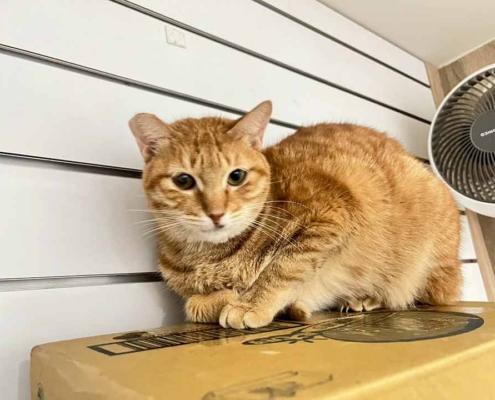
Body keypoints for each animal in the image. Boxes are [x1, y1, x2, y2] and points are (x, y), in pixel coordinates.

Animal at [129, 100, 462, 329]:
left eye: (236, 176)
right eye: (183, 181)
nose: (216, 213)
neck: (213, 259)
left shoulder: (330, 214)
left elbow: (281, 268)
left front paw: (250, 302)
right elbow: (193, 305)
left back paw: (367, 297)